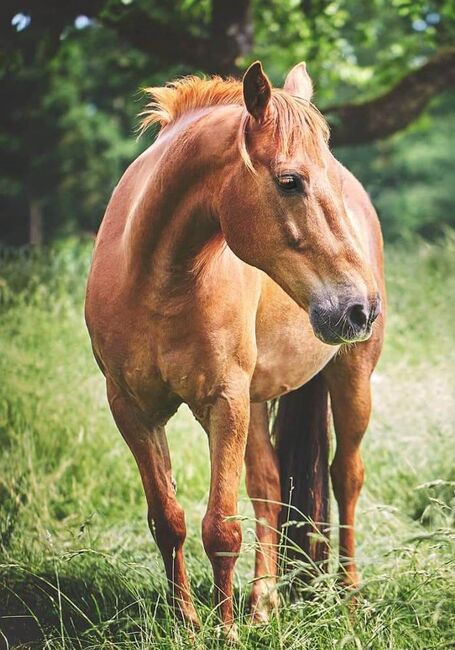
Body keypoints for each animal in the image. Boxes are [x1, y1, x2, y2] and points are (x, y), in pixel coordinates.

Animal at [84, 60, 384, 632]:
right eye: (290, 182)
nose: (361, 308)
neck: (159, 280)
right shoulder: (132, 410)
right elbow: (169, 520)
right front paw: (187, 624)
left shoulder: (223, 403)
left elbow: (221, 529)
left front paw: (223, 631)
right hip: (259, 398)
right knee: (269, 486)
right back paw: (263, 601)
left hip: (350, 377)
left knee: (347, 477)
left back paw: (350, 597)